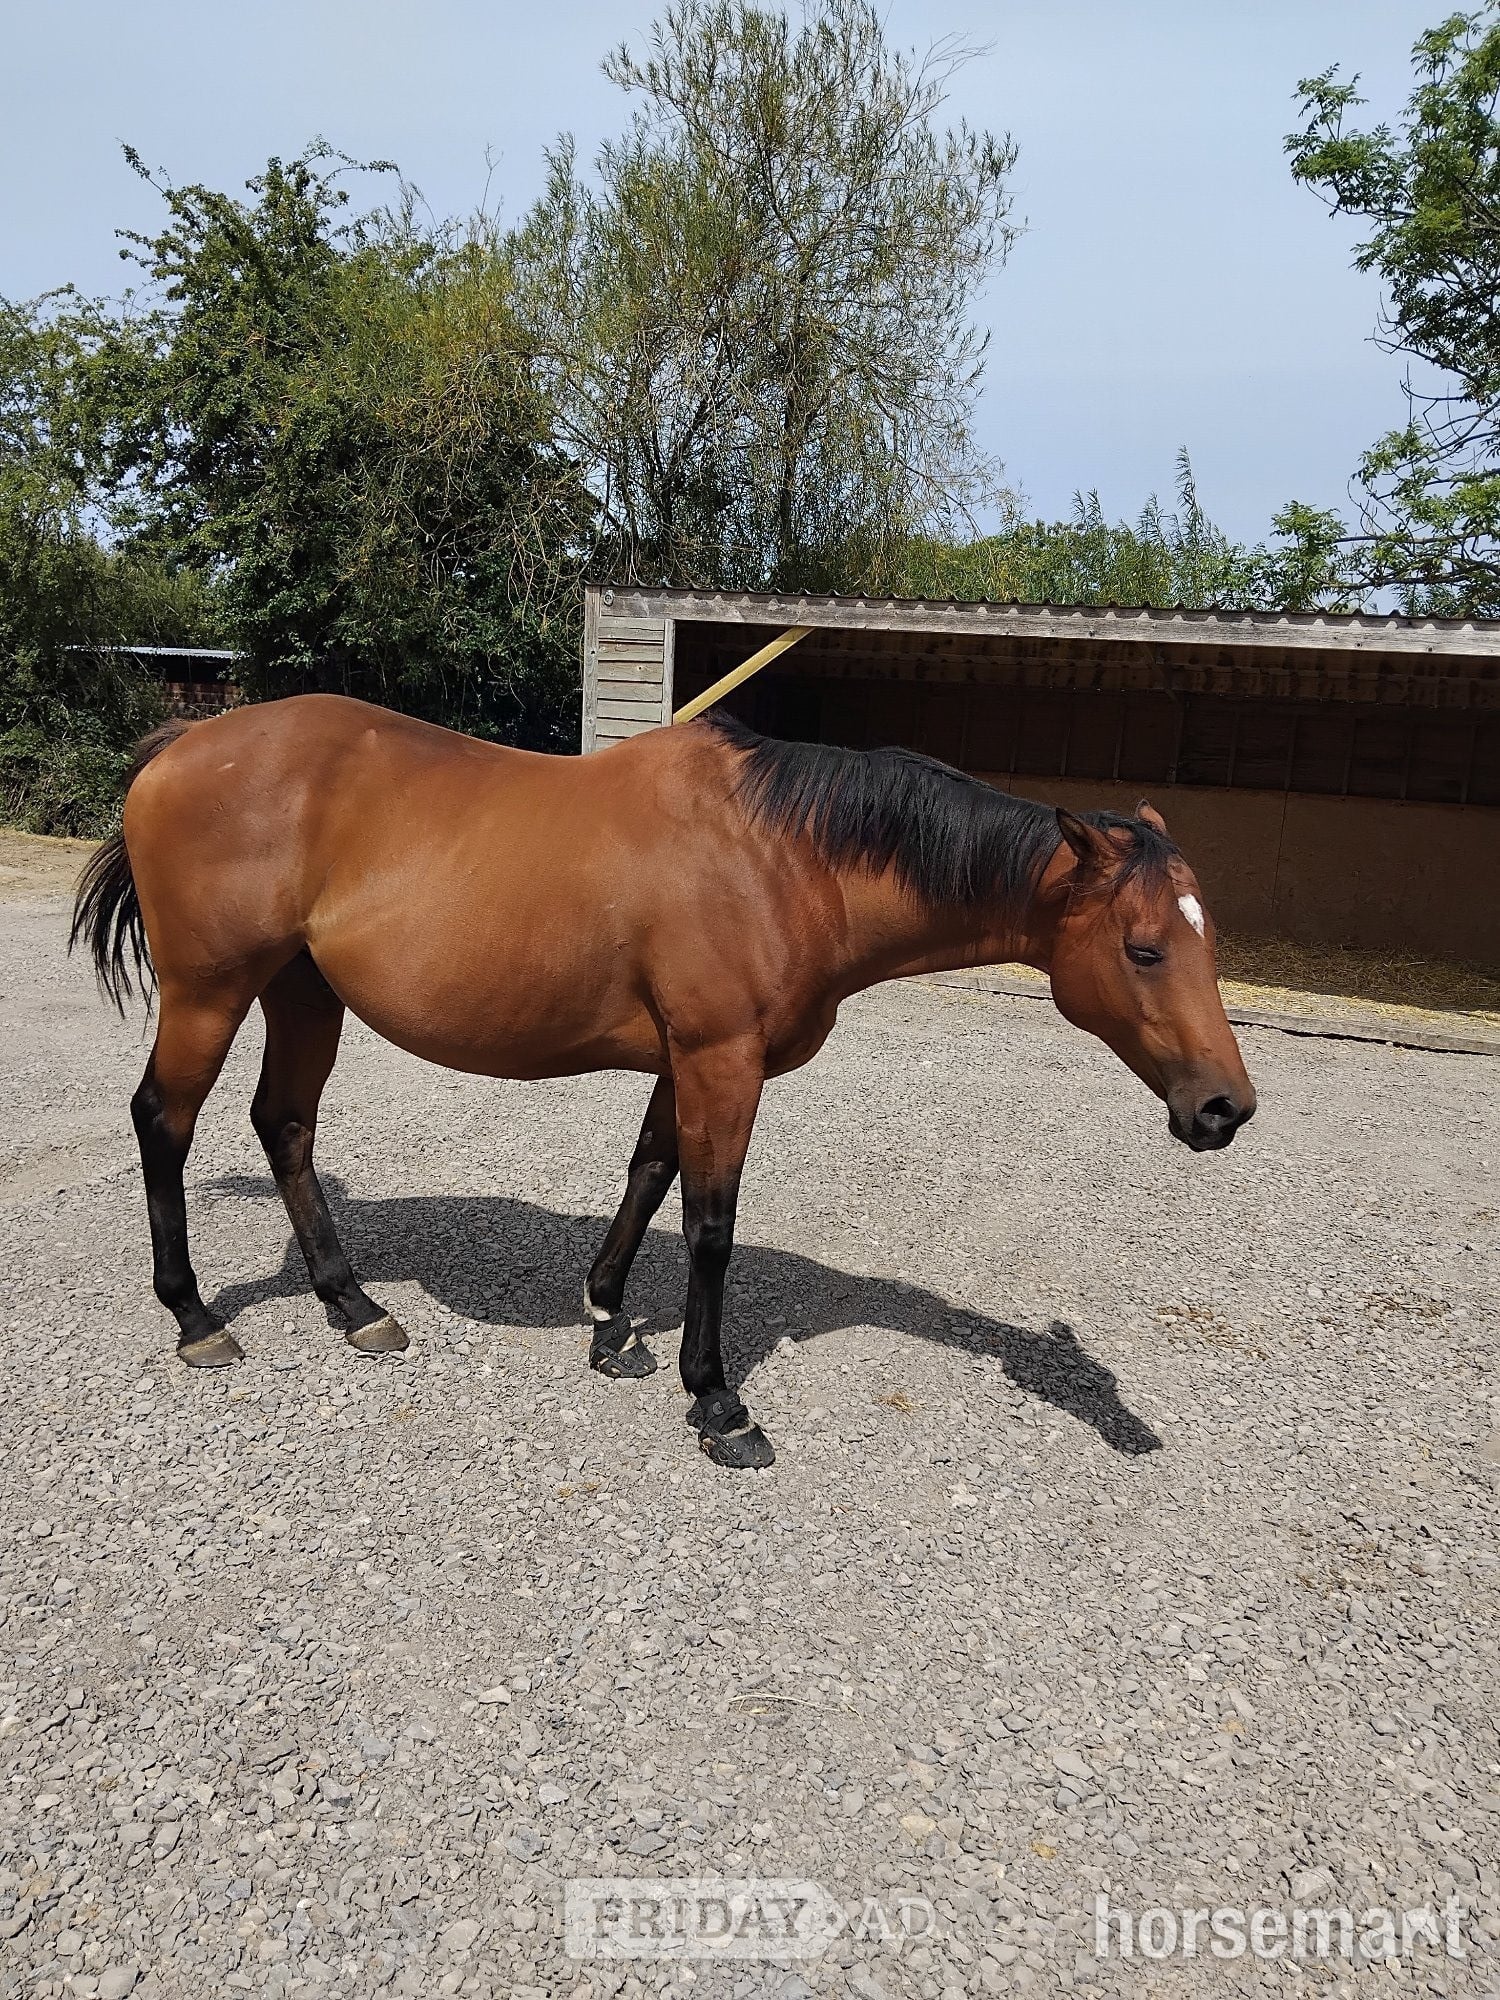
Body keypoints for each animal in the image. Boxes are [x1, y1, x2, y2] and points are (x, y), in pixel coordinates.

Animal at [72, 693, 1255, 1469]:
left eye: (1209, 939)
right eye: (1145, 947)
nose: (1225, 1108)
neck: (785, 855)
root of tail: (183, 743)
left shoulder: (681, 1061)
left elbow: (647, 1175)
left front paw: (608, 1320)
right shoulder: (721, 1060)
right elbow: (711, 1221)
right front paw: (717, 1399)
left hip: (305, 993)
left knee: (285, 1126)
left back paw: (352, 1303)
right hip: (211, 990)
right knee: (164, 1122)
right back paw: (194, 1316)